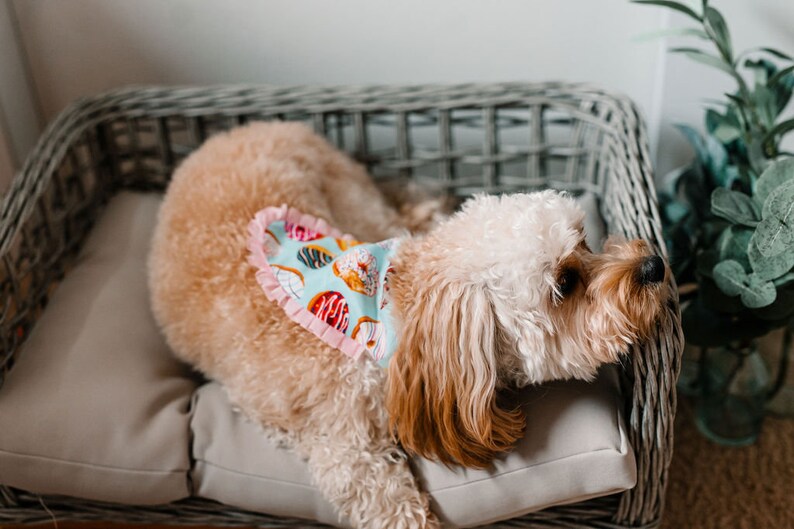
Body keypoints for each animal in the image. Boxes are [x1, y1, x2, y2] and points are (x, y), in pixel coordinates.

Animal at [148, 121, 668, 524]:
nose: (654, 266)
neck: (402, 313)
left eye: (585, 241)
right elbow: (393, 507)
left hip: (356, 203)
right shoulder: (348, 456)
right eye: (565, 282)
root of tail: (247, 128)